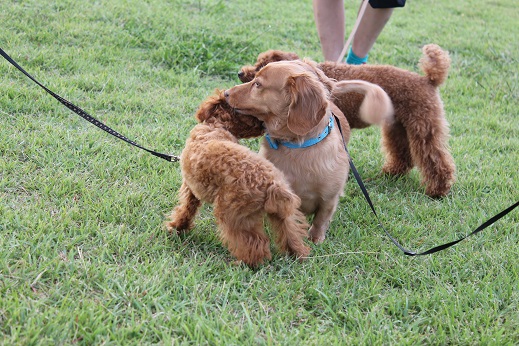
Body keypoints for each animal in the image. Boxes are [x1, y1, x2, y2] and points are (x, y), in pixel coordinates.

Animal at [168, 90, 308, 266]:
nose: (263, 125)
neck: (216, 127)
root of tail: (272, 185)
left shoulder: (190, 187)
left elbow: (186, 209)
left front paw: (177, 227)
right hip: (280, 213)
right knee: (290, 232)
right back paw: (296, 254)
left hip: (232, 213)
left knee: (255, 243)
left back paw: (244, 264)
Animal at [225, 60, 392, 243]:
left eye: (257, 84)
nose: (225, 93)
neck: (297, 147)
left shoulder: (329, 199)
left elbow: (321, 220)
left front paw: (315, 239)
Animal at [240, 44, 456, 197]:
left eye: (260, 67)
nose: (240, 73)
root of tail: (428, 80)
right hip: (398, 125)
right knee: (402, 152)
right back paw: (391, 173)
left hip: (423, 123)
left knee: (434, 157)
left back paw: (438, 190)